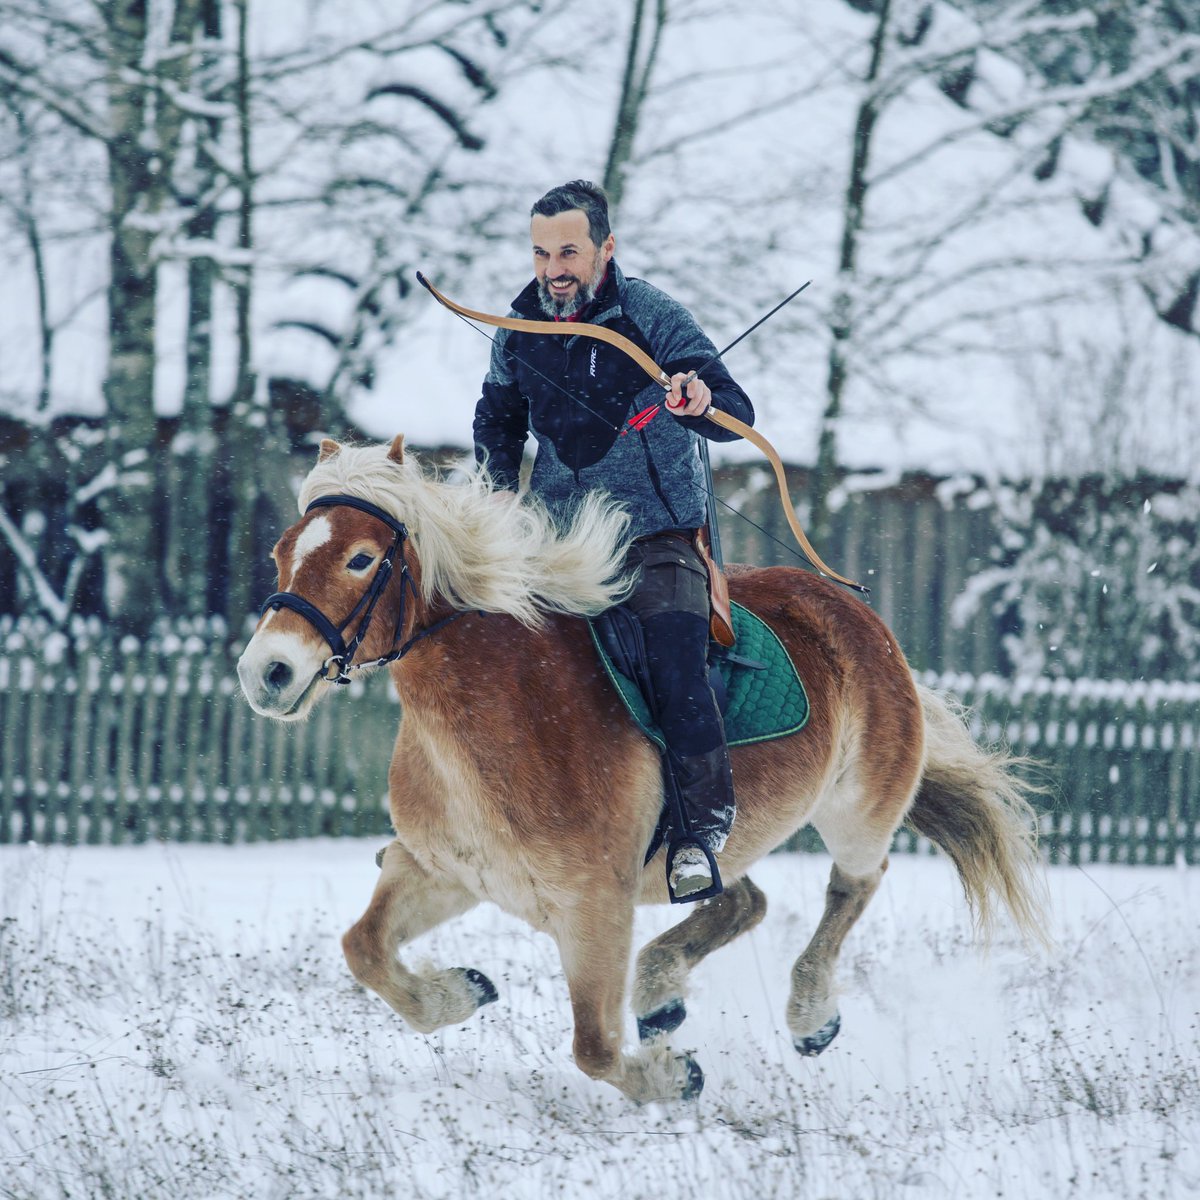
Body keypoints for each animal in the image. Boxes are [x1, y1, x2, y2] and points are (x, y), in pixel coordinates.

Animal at [237, 434, 1046, 1103]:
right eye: (281, 554)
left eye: (359, 559)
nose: (266, 673)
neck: (504, 707)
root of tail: (859, 617)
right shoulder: (445, 872)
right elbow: (364, 948)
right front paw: (464, 992)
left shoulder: (594, 907)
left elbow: (592, 1048)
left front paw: (674, 1078)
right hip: (704, 848)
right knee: (743, 900)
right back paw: (662, 994)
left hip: (857, 810)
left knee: (854, 883)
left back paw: (808, 1014)